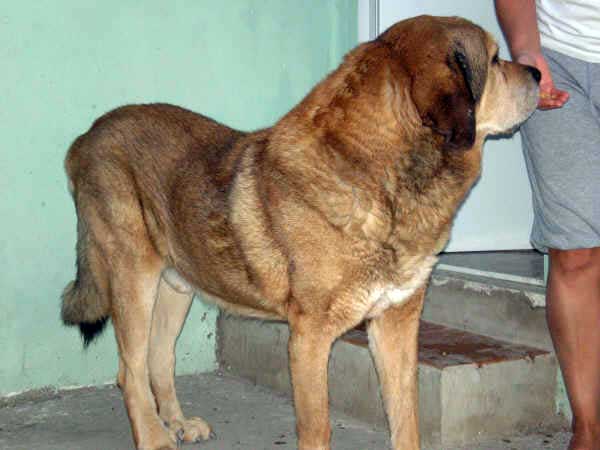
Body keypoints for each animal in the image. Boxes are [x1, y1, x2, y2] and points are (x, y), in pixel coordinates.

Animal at [61, 14, 540, 450]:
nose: (537, 72)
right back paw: (155, 438)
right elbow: (317, 428)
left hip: (177, 284)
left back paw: (177, 423)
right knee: (130, 371)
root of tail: (85, 138)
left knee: (159, 359)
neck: (380, 176)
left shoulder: (396, 325)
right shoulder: (310, 337)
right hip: (133, 277)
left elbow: (406, 419)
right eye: (494, 59)